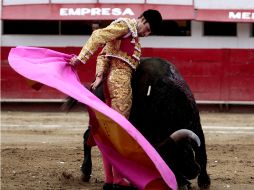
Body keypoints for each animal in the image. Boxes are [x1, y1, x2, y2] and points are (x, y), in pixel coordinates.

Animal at [63, 57, 210, 189]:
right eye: (170, 159)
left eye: (184, 152)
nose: (194, 171)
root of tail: (94, 85)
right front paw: (182, 182)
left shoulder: (196, 125)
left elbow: (201, 153)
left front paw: (204, 181)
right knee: (89, 138)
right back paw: (86, 171)